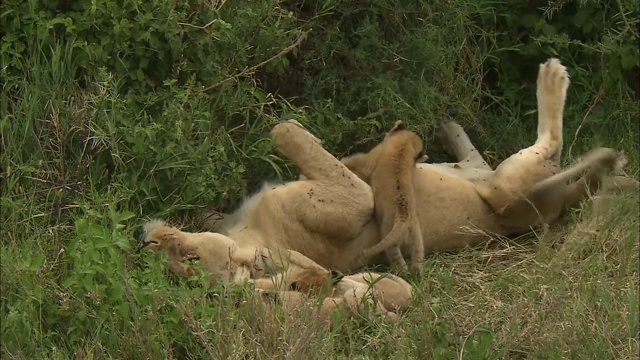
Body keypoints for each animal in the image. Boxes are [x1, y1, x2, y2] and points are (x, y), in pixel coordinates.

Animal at [140, 57, 636, 282]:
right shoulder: (356, 200)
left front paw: (283, 125)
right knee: (545, 149)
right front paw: (285, 126)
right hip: (506, 185)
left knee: (498, 157)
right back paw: (551, 81)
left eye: (188, 259)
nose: (147, 245)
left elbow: (308, 149)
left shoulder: (355, 198)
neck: (251, 234)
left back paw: (453, 126)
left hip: (497, 179)